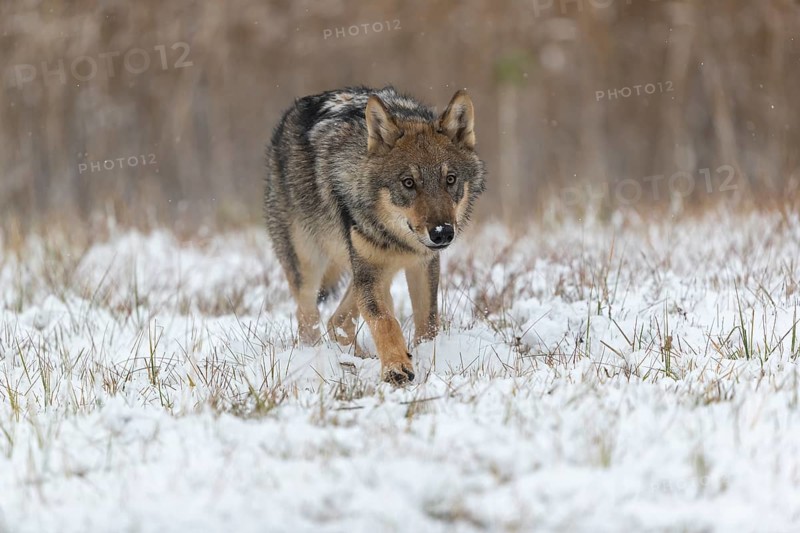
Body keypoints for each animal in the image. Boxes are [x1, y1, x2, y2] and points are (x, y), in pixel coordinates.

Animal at [264, 86, 486, 384]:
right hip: (311, 267)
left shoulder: (422, 264)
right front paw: (396, 366)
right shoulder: (369, 273)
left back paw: (358, 359)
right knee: (309, 320)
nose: (442, 233)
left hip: (375, 271)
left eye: (450, 179)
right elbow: (384, 320)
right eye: (408, 183)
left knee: (338, 320)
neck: (397, 240)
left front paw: (425, 356)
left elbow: (427, 323)